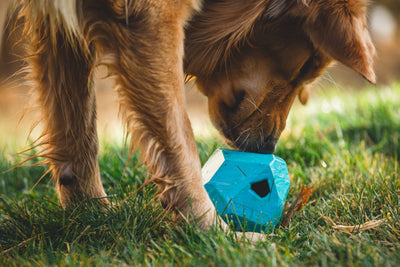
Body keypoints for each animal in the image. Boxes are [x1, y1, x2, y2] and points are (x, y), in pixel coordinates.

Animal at [11, 0, 376, 230]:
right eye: (305, 68)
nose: (268, 148)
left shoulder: (61, 18)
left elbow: (76, 125)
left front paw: (88, 210)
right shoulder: (151, 16)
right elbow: (179, 137)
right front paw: (211, 228)